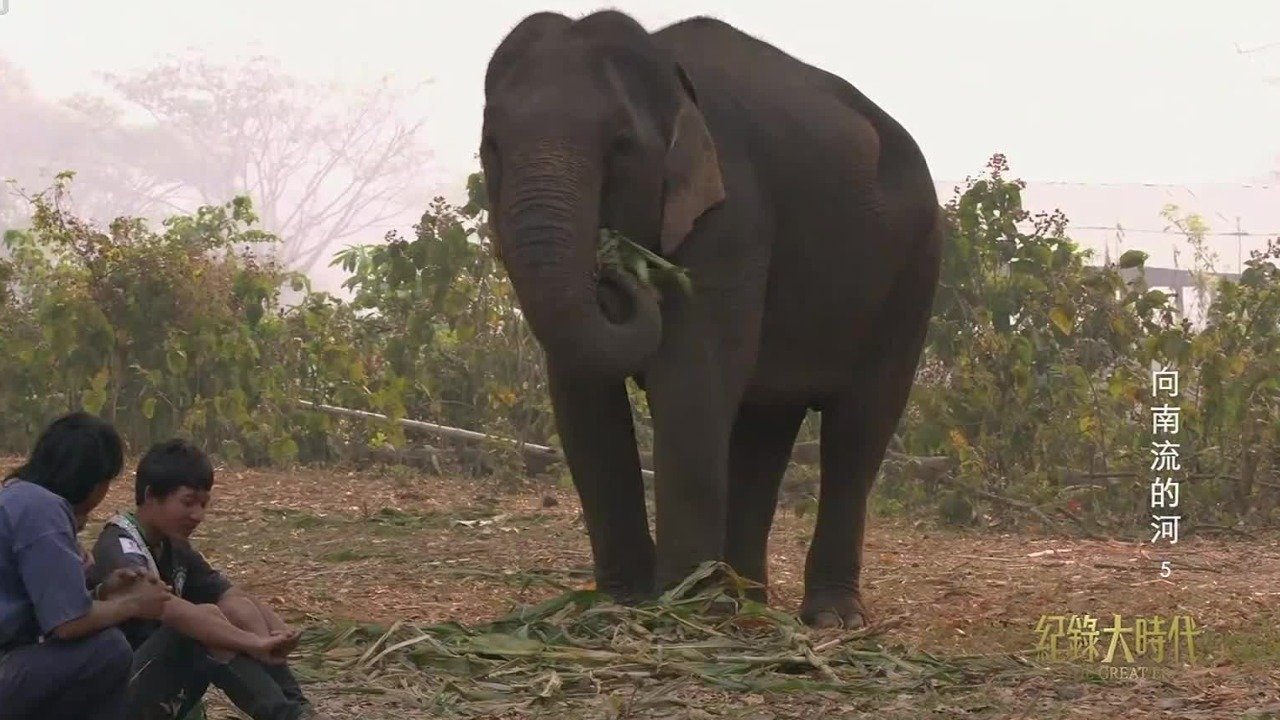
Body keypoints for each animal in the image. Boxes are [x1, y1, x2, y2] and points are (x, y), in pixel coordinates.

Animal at [478, 11, 942, 627]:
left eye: (621, 146)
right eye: (491, 147)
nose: (615, 262)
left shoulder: (734, 214)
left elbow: (692, 376)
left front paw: (679, 608)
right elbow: (581, 389)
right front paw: (620, 602)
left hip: (914, 270)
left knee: (858, 428)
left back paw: (827, 618)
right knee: (764, 430)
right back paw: (746, 603)